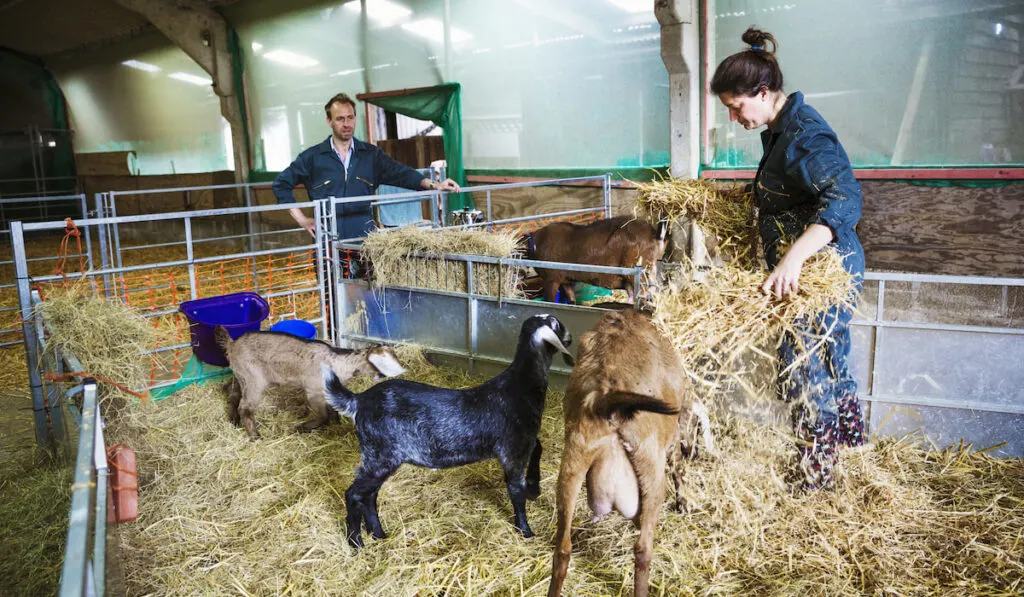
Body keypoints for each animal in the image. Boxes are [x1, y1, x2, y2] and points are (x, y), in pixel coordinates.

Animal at [215, 327, 403, 438]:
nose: (402, 370)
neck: (338, 362)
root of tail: (232, 344)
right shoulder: (313, 391)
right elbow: (323, 415)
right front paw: (302, 427)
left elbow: (332, 410)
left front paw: (336, 424)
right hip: (254, 378)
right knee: (245, 407)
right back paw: (255, 436)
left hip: (241, 375)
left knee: (232, 392)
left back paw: (234, 421)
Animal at [321, 315, 573, 548]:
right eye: (558, 324)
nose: (570, 338)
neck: (520, 385)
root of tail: (359, 400)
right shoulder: (514, 450)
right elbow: (516, 490)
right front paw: (526, 530)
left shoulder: (521, 443)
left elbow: (537, 450)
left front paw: (535, 487)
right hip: (380, 454)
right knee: (354, 494)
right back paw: (356, 543)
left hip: (380, 458)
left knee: (369, 495)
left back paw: (378, 534)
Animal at [548, 311, 708, 593]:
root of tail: (606, 398)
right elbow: (679, 467)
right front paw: (684, 504)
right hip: (651, 470)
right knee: (643, 550)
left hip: (573, 465)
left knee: (562, 551)